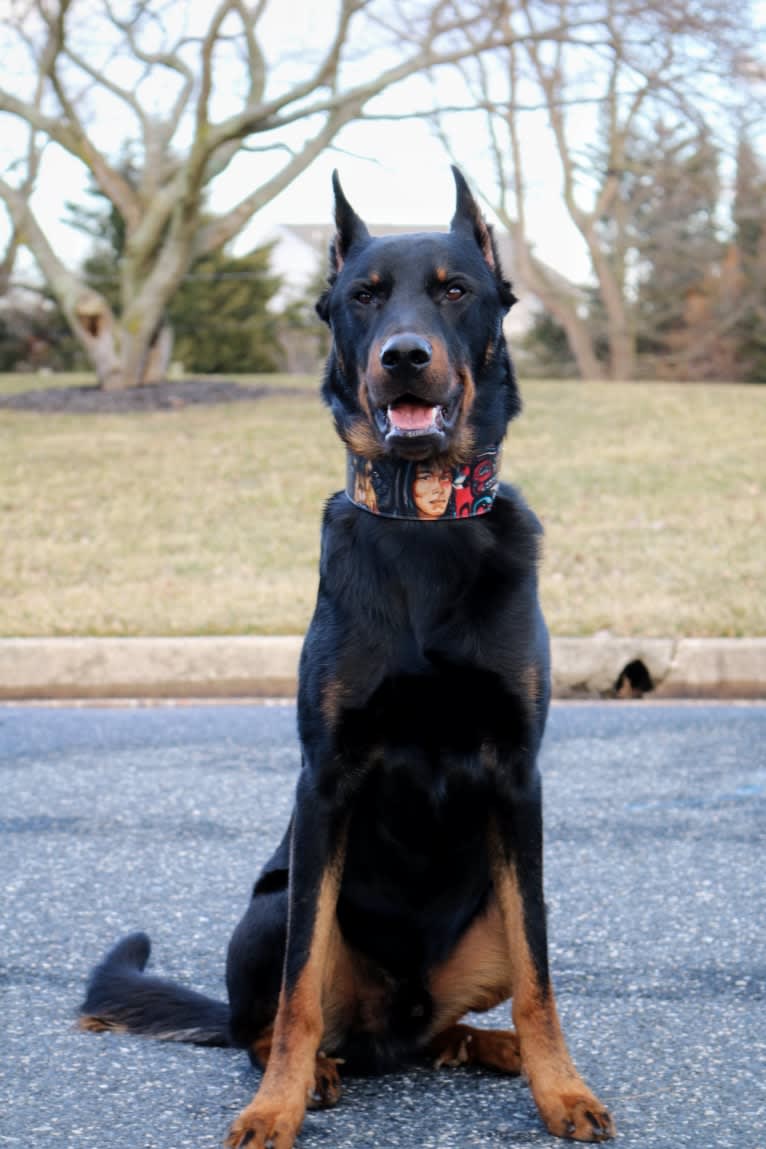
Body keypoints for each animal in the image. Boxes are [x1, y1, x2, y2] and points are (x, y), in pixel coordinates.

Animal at [79, 170, 615, 1149]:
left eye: (454, 289)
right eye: (363, 297)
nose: (403, 356)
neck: (424, 518)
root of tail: (388, 1028)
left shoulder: (519, 780)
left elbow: (541, 977)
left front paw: (560, 1086)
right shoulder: (323, 782)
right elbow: (297, 994)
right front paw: (275, 1107)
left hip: (476, 930)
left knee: (455, 1025)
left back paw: (497, 1051)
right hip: (270, 906)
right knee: (270, 1020)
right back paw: (316, 1073)